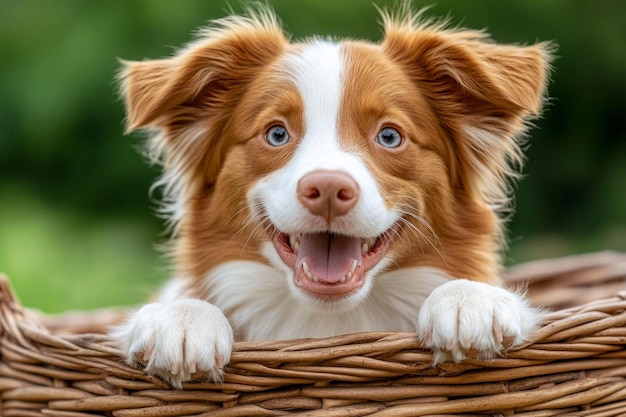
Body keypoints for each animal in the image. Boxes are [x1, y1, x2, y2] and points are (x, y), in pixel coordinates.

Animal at [111, 4, 552, 386]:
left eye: (389, 136)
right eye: (276, 133)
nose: (326, 189)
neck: (330, 323)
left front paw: (468, 298)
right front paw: (183, 317)